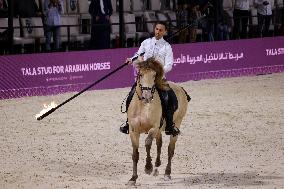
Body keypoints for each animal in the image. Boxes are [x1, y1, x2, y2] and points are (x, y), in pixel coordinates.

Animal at [126, 57, 191, 185]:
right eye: (140, 74)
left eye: (154, 75)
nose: (147, 97)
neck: (143, 106)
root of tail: (180, 88)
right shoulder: (133, 131)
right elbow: (135, 154)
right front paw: (133, 178)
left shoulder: (154, 128)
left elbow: (147, 143)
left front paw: (148, 167)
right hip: (159, 131)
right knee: (159, 144)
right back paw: (156, 167)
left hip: (176, 124)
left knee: (170, 150)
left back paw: (167, 173)